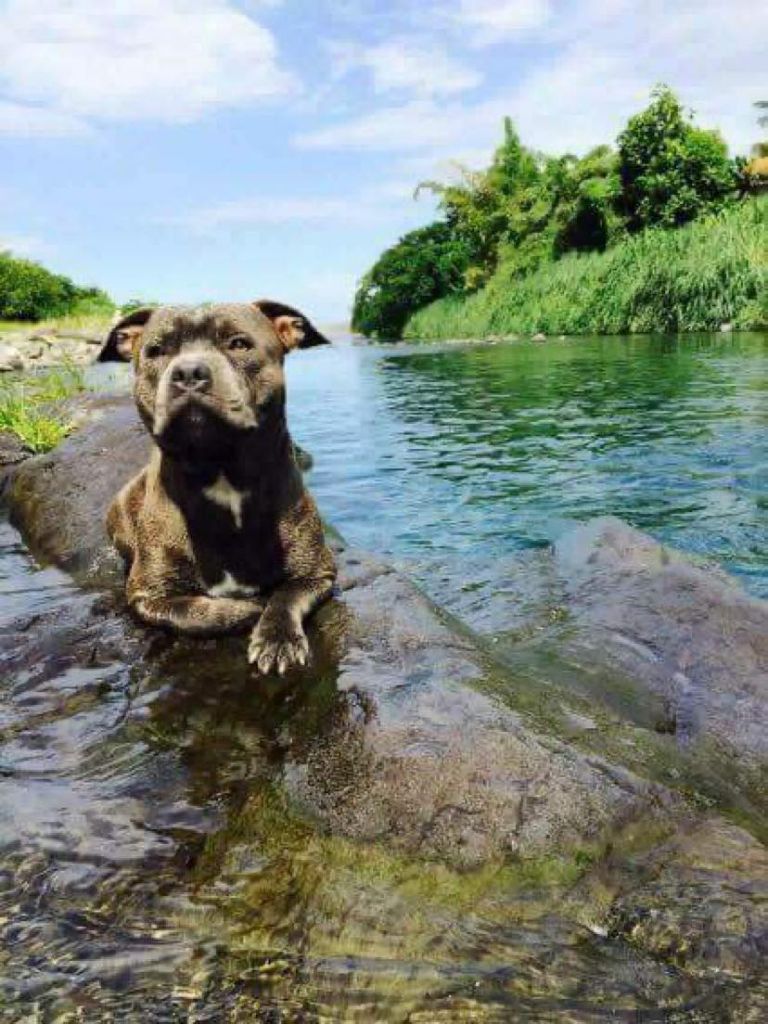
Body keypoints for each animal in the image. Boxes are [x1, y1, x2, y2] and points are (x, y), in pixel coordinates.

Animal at [106, 300, 336, 674]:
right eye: (156, 351)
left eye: (239, 344)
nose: (188, 372)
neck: (222, 471)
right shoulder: (147, 595)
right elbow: (194, 611)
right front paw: (247, 609)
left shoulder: (317, 573)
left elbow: (286, 596)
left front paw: (277, 638)